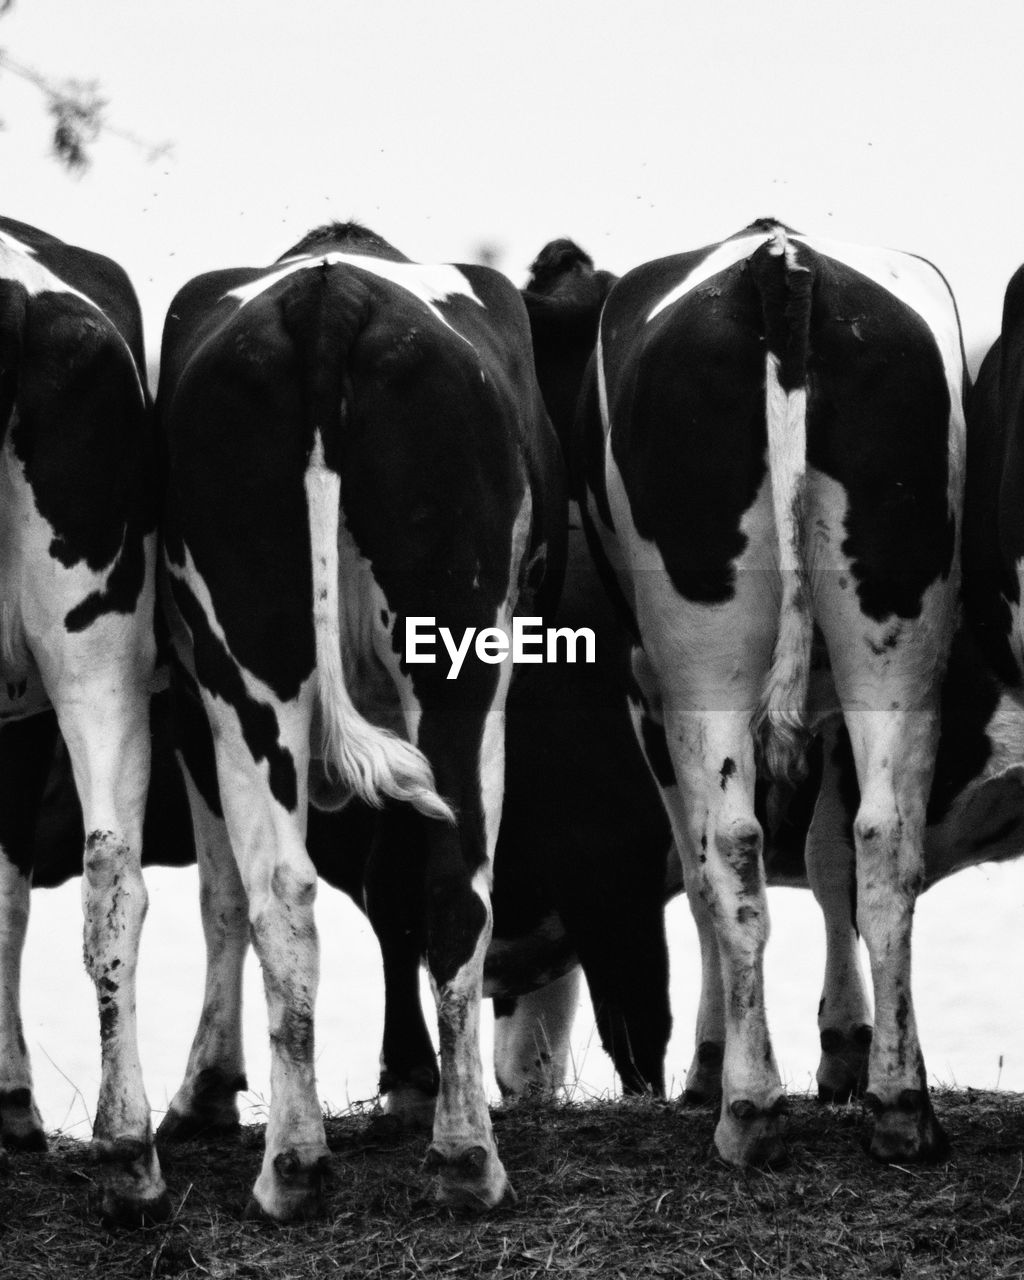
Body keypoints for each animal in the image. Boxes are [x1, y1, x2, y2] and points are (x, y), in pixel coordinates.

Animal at [156, 222, 563, 1218]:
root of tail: (329, 294)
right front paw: (408, 1082)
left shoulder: (186, 691)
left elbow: (243, 893)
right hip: (458, 661)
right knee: (451, 883)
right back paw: (463, 1156)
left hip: (248, 663)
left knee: (285, 893)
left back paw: (297, 1164)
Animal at [560, 222, 967, 1172]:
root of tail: (774, 260)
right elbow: (830, 860)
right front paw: (854, 1051)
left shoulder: (644, 691)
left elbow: (700, 872)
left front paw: (713, 1066)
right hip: (897, 632)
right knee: (887, 843)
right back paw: (903, 1107)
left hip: (696, 653)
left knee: (732, 851)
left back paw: (748, 1110)